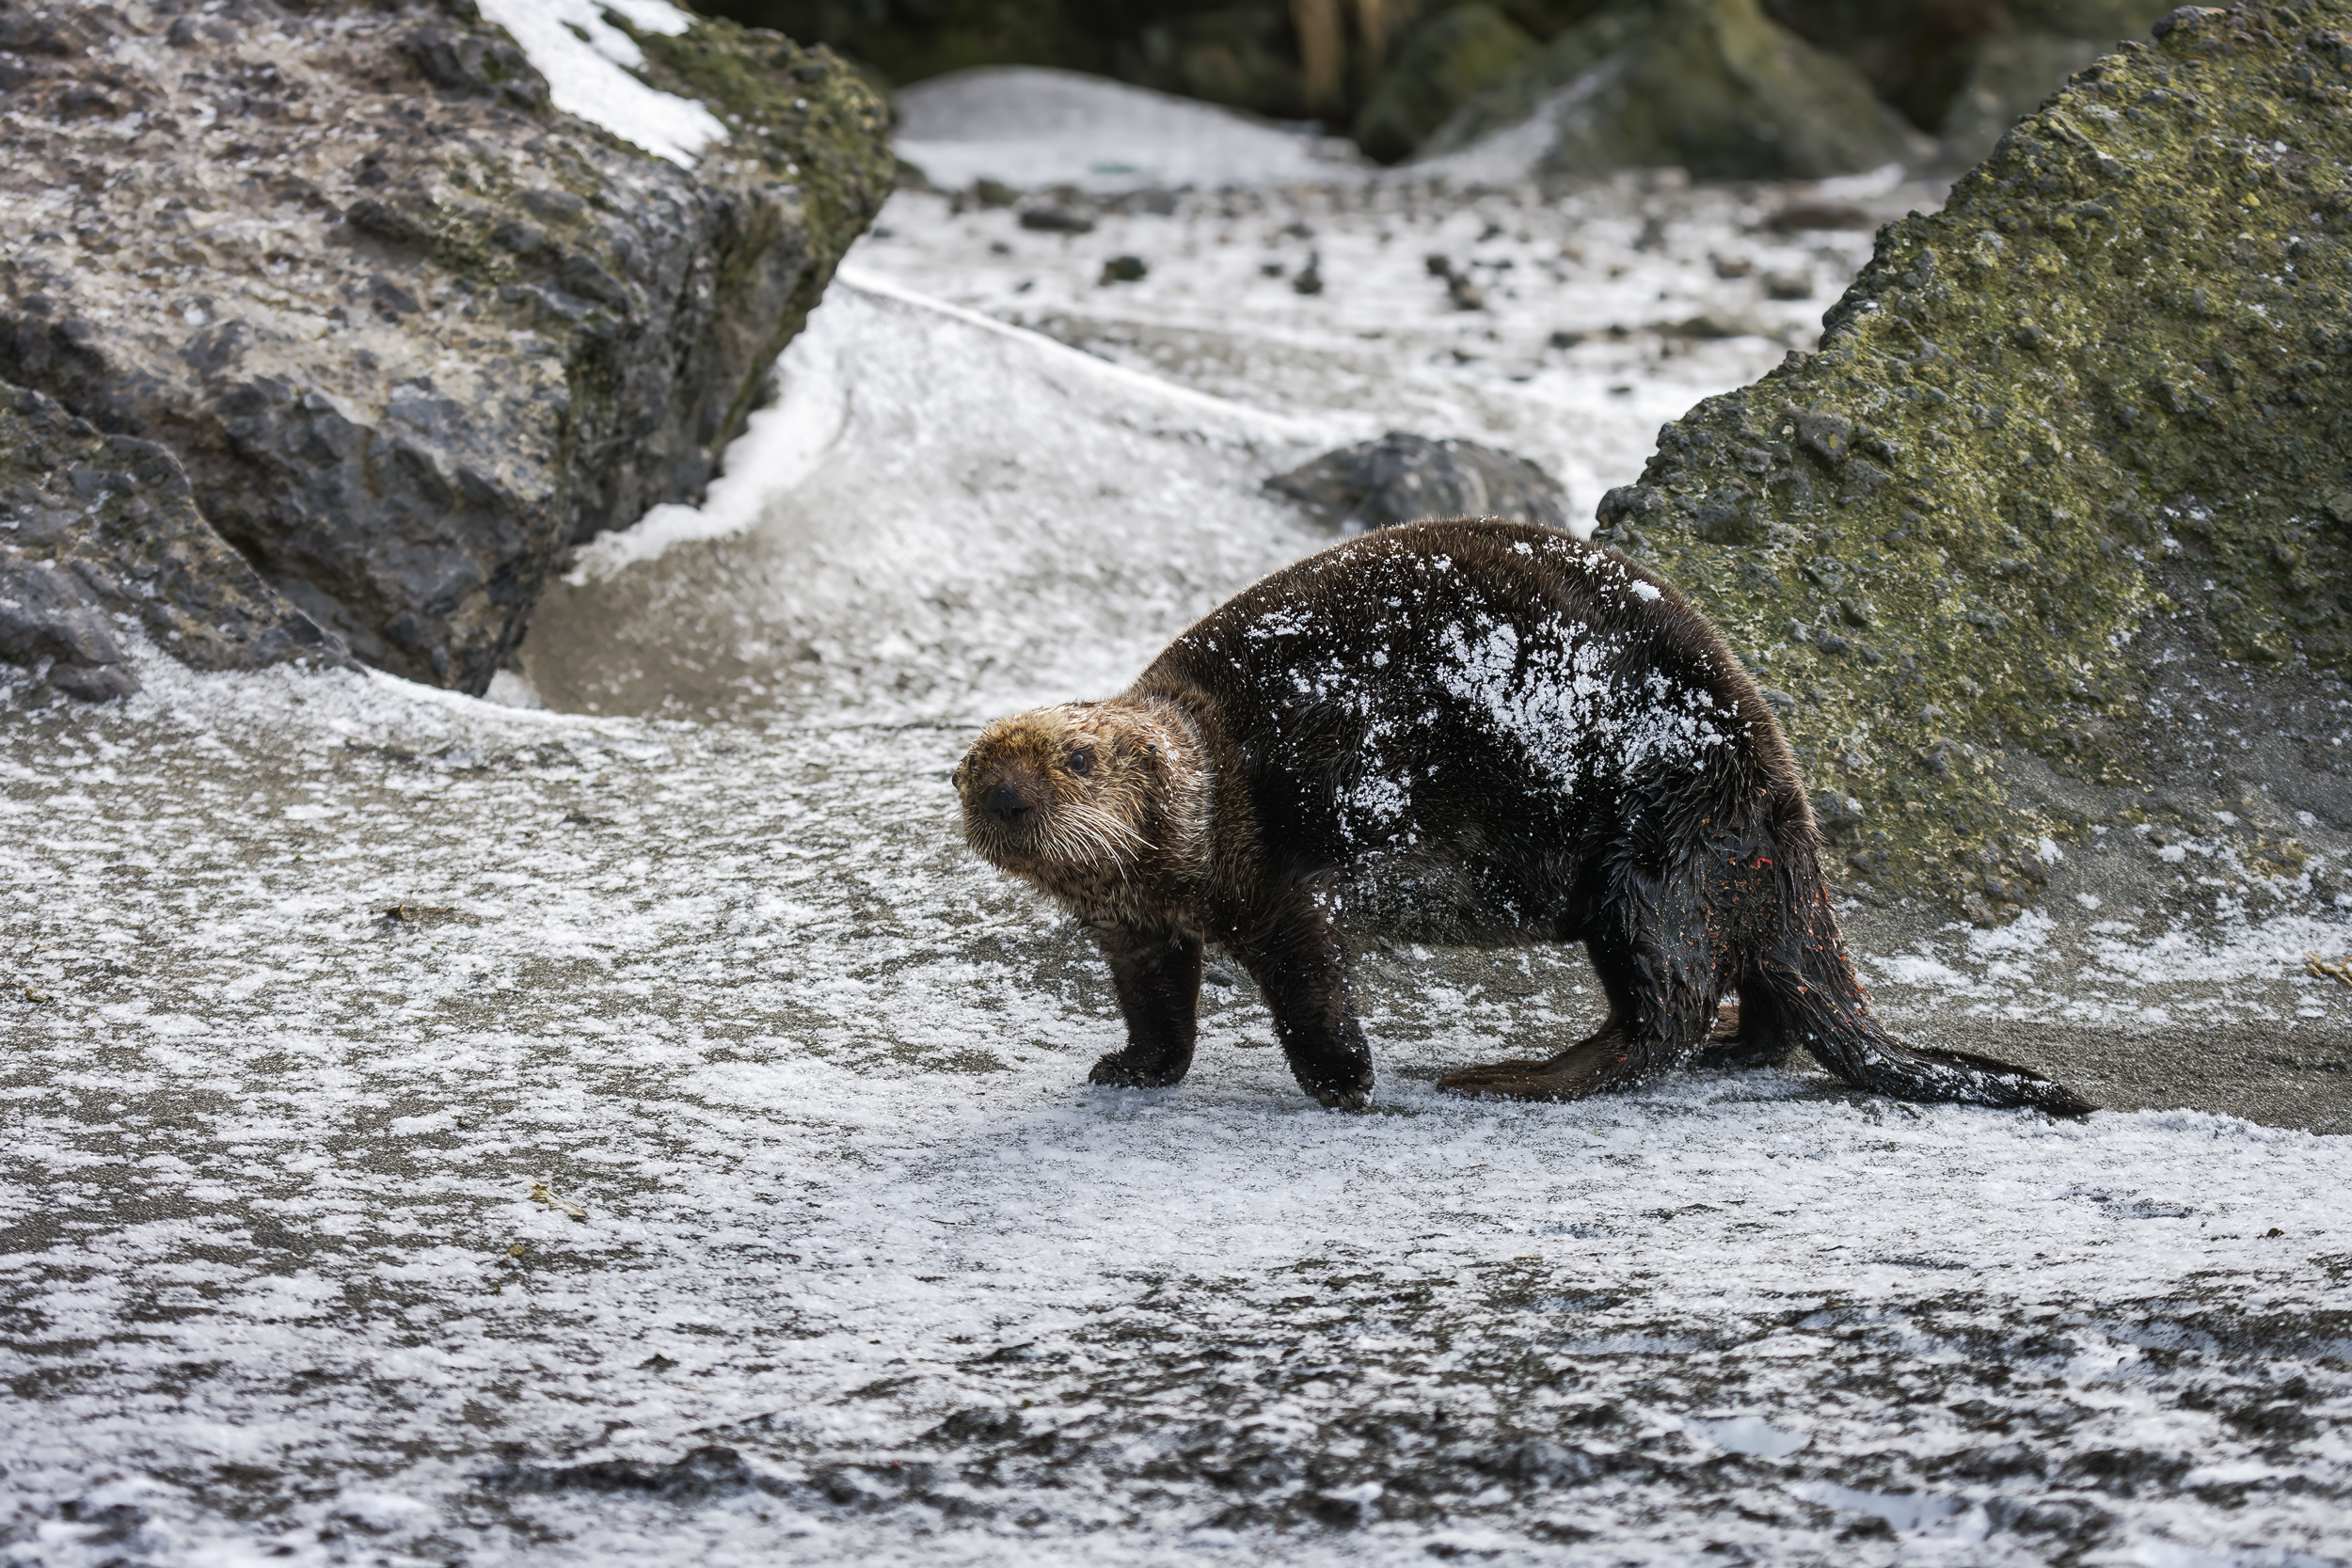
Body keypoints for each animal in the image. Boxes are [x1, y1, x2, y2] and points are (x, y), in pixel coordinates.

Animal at [955, 524, 2098, 1114]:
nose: (1002, 793)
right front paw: (1129, 1066)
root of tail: (1783, 796)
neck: (1212, 783)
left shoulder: (1273, 870)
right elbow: (1156, 998)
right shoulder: (1140, 921)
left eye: (1078, 757)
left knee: (1666, 1010)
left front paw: (1346, 1081)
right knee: (1758, 991)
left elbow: (1309, 973)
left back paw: (1518, 1075)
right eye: (971, 765)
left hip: (1660, 843)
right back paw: (1738, 1047)